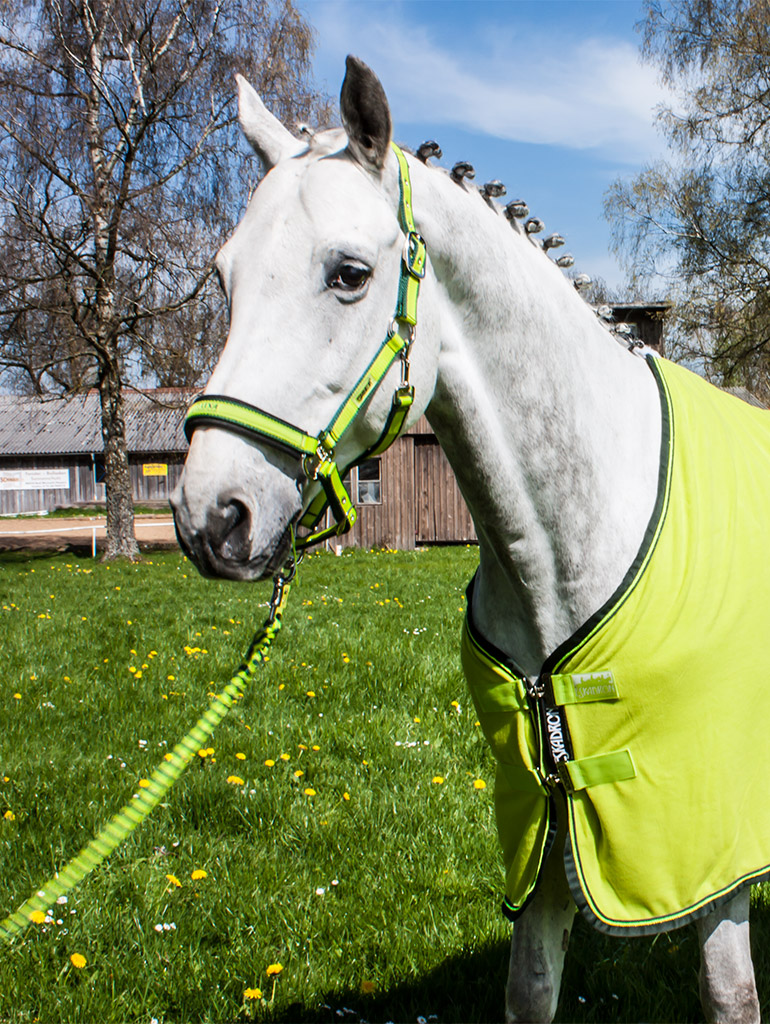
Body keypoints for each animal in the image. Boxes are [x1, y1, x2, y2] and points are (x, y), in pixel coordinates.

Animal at [171, 57, 770, 1023]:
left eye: (349, 273)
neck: (573, 540)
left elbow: (729, 995)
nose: (211, 515)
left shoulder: (709, 849)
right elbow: (530, 989)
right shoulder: (545, 824)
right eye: (224, 276)